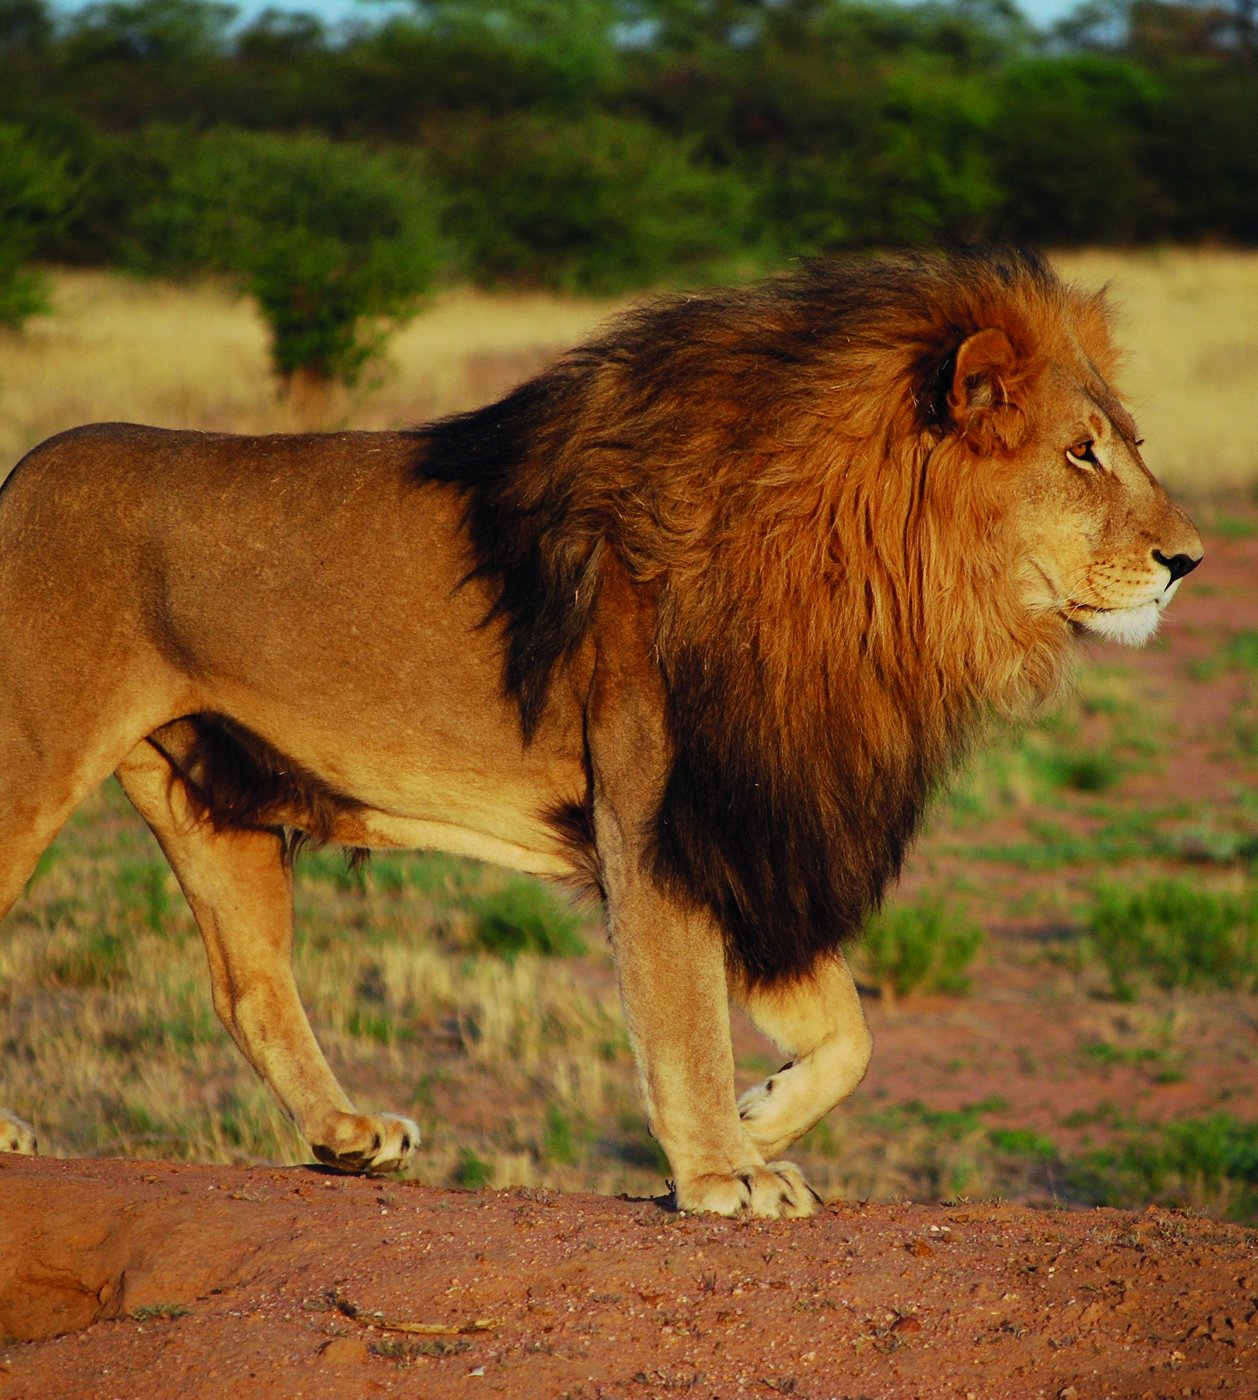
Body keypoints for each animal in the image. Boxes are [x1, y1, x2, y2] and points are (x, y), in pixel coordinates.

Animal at [0, 248, 1201, 1217]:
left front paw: (761, 1118)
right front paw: (720, 1173)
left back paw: (347, 1137)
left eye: (1134, 443)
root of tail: (19, 475)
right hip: (32, 764)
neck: (868, 581)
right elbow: (685, 1014)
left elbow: (848, 1030)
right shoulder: (659, 814)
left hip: (212, 796)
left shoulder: (749, 823)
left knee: (247, 986)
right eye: (1081, 454)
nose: (1189, 559)